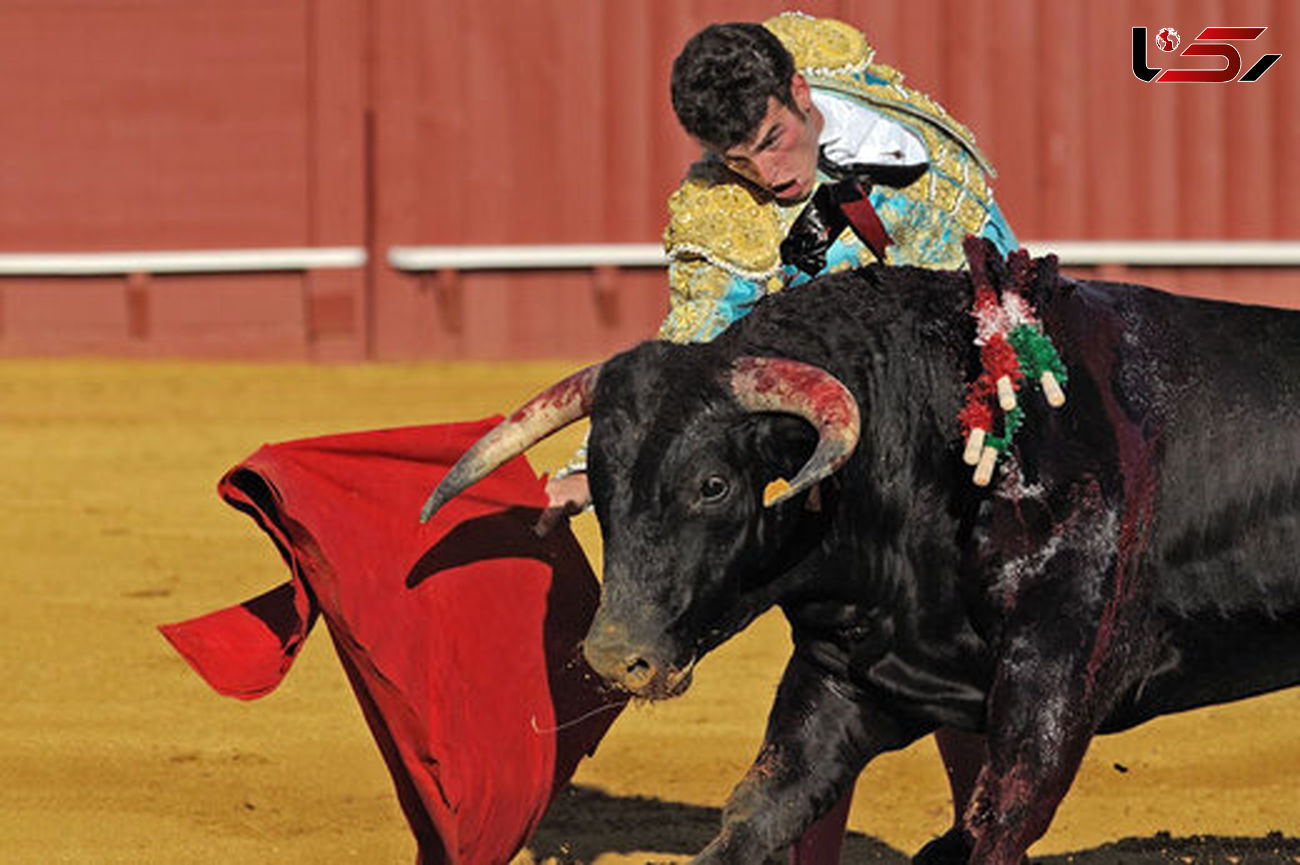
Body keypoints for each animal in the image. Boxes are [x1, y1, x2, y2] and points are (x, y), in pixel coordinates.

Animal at [421, 244, 1294, 863]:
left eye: (712, 485)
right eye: (598, 484)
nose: (612, 656)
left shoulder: (1056, 677)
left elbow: (1000, 816)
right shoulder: (847, 676)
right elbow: (759, 808)